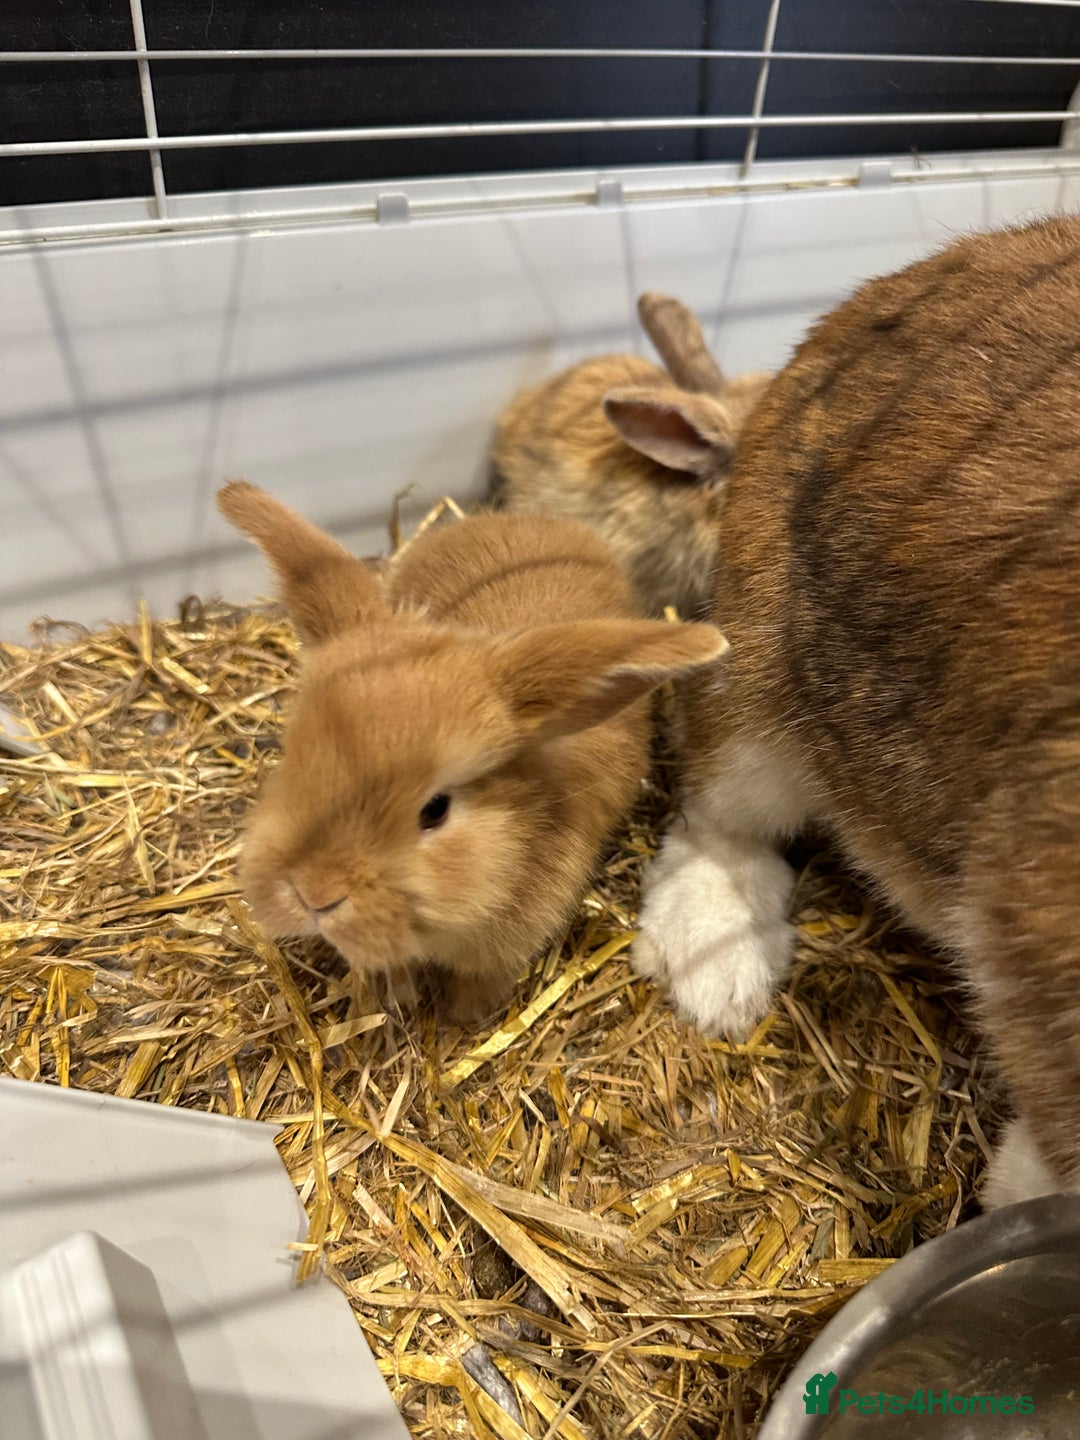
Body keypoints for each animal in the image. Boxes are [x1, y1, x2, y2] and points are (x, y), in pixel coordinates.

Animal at [216, 481, 726, 1025]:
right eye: (294, 756)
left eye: (435, 810)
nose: (314, 894)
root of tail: (522, 518)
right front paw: (398, 998)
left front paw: (462, 1019)